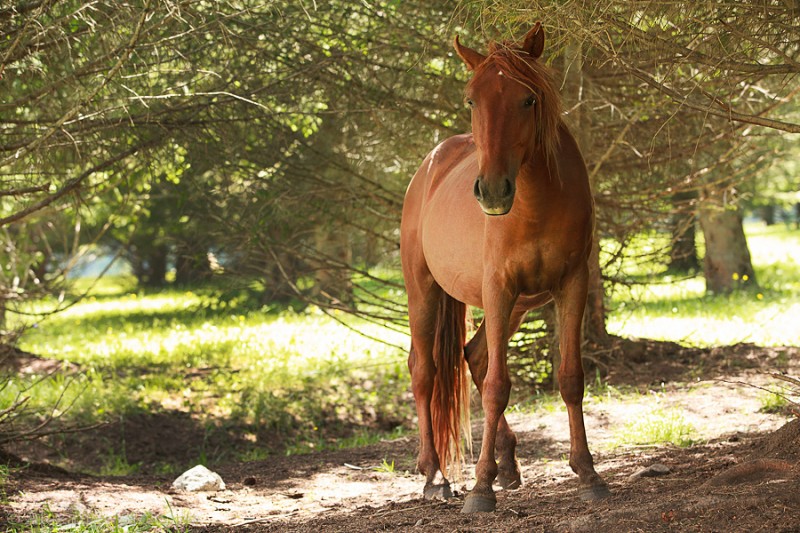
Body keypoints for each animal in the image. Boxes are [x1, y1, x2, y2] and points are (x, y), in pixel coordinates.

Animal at [400, 23, 612, 512]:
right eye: (472, 100)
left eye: (528, 99)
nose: (493, 190)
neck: (535, 204)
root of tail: (431, 165)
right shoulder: (498, 288)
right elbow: (499, 385)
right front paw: (480, 489)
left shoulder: (572, 285)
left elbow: (571, 378)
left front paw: (587, 473)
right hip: (424, 290)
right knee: (425, 370)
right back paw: (435, 475)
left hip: (516, 307)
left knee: (475, 356)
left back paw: (508, 464)